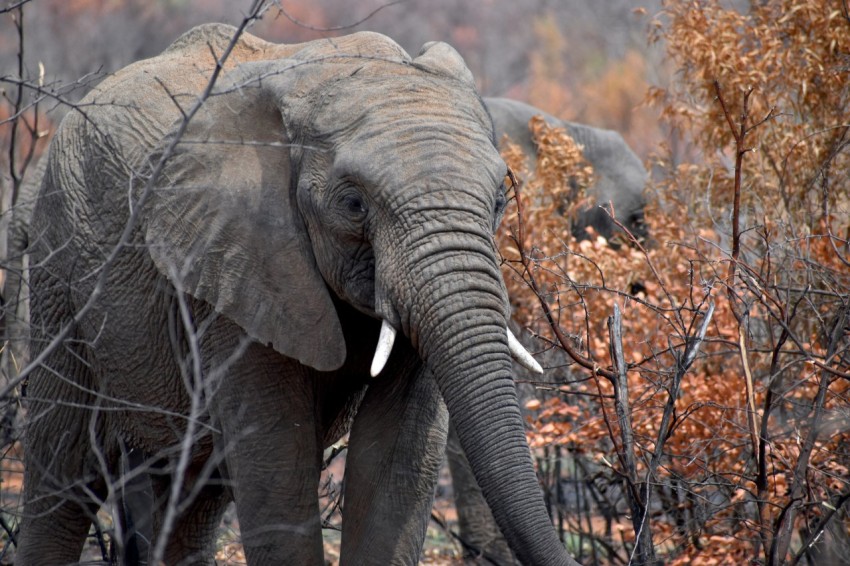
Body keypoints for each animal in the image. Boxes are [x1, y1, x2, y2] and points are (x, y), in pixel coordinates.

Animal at [17, 23, 581, 566]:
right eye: (353, 204)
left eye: (501, 199)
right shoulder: (241, 264)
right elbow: (276, 460)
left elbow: (398, 455)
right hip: (55, 260)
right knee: (63, 475)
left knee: (192, 496)